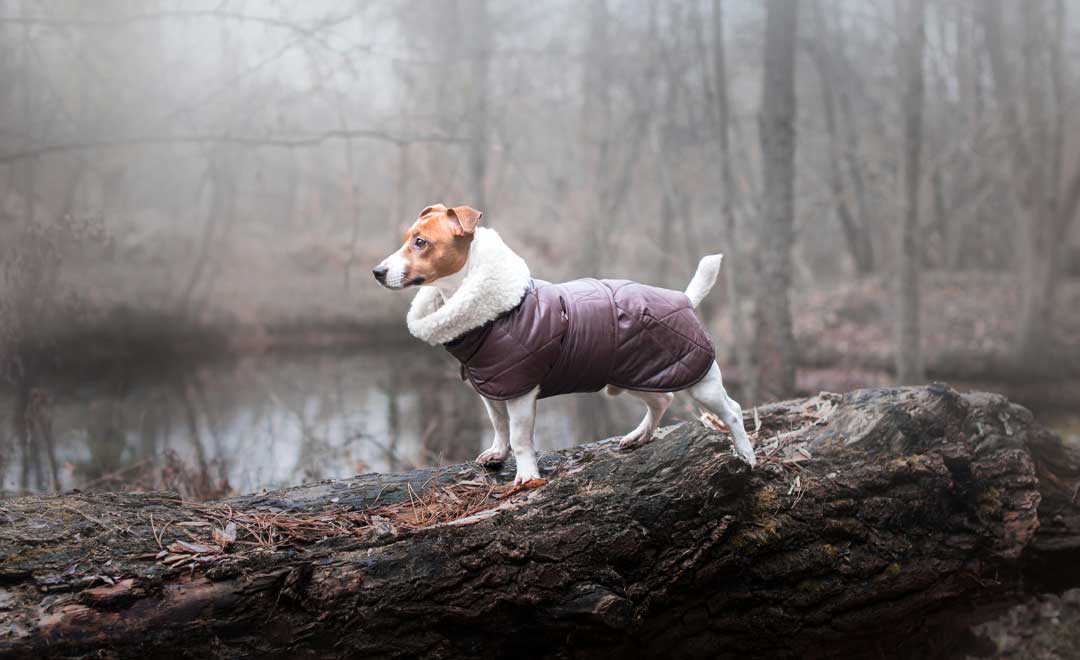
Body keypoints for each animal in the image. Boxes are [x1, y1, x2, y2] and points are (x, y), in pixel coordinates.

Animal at [375, 205, 756, 486]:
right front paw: (497, 454)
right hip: (638, 374)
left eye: (421, 242)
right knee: (662, 400)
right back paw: (640, 435)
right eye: (408, 239)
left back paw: (746, 454)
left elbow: (520, 437)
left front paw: (526, 476)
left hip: (698, 378)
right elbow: (499, 427)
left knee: (733, 411)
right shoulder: (491, 388)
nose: (377, 272)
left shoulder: (520, 391)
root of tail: (685, 299)